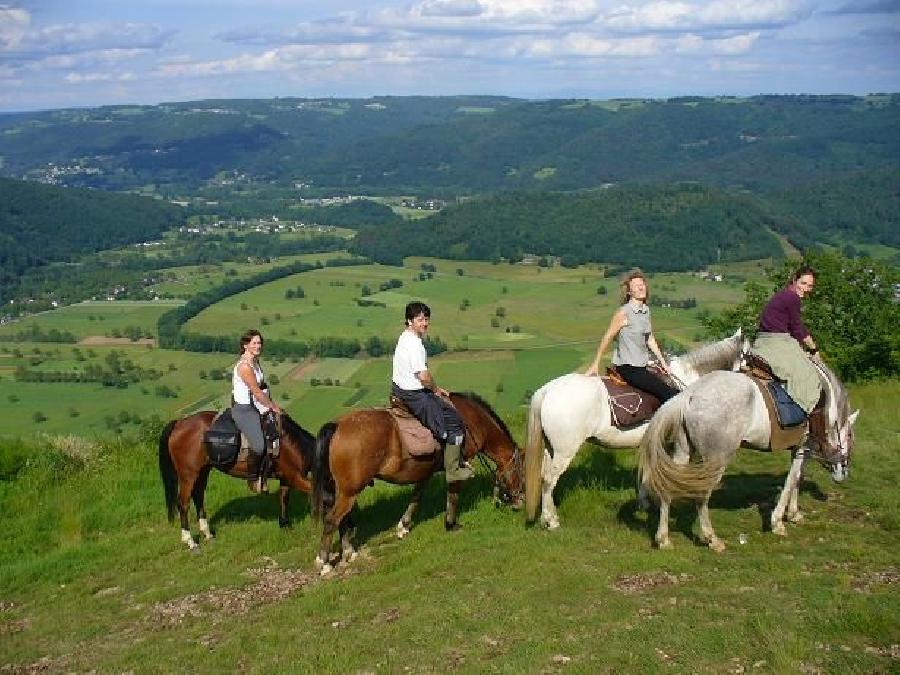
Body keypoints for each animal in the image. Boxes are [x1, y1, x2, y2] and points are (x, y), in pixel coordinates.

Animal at [158, 410, 316, 552]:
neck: (290, 442)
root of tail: (179, 423)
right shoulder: (294, 477)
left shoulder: (286, 478)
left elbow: (284, 499)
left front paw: (285, 525)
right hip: (188, 475)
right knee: (183, 504)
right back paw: (190, 542)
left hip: (203, 471)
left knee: (198, 497)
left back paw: (208, 534)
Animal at [312, 394, 524, 572]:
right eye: (522, 473)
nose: (519, 502)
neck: (472, 421)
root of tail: (338, 425)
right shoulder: (457, 465)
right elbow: (453, 493)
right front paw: (451, 523)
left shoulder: (425, 470)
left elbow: (416, 496)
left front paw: (404, 526)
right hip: (350, 491)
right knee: (332, 519)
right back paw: (324, 563)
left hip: (342, 490)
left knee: (341, 518)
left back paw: (348, 551)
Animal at [524, 330, 748, 532]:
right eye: (750, 355)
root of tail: (548, 390)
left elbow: (646, 472)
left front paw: (644, 502)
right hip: (565, 451)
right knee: (549, 480)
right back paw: (551, 522)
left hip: (551, 449)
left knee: (544, 478)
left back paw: (548, 517)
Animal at [636, 356, 860, 552]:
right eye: (850, 437)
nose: (843, 474)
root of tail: (690, 394)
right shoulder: (804, 447)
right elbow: (791, 481)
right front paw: (777, 522)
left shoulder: (800, 449)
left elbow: (797, 478)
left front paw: (794, 514)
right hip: (715, 460)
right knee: (701, 496)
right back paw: (712, 539)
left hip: (682, 453)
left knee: (668, 487)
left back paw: (663, 539)